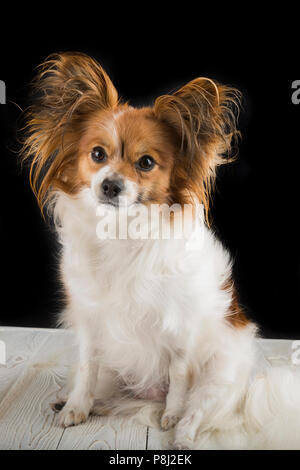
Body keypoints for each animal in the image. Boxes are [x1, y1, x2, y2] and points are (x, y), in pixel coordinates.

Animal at [19, 53, 298, 450]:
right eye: (97, 154)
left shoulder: (180, 325)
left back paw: (181, 434)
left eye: (146, 163)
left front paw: (173, 416)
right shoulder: (90, 320)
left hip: (220, 376)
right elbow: (87, 367)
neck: (122, 230)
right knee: (109, 392)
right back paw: (75, 401)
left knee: (197, 409)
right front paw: (76, 406)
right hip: (118, 370)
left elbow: (179, 375)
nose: (110, 185)